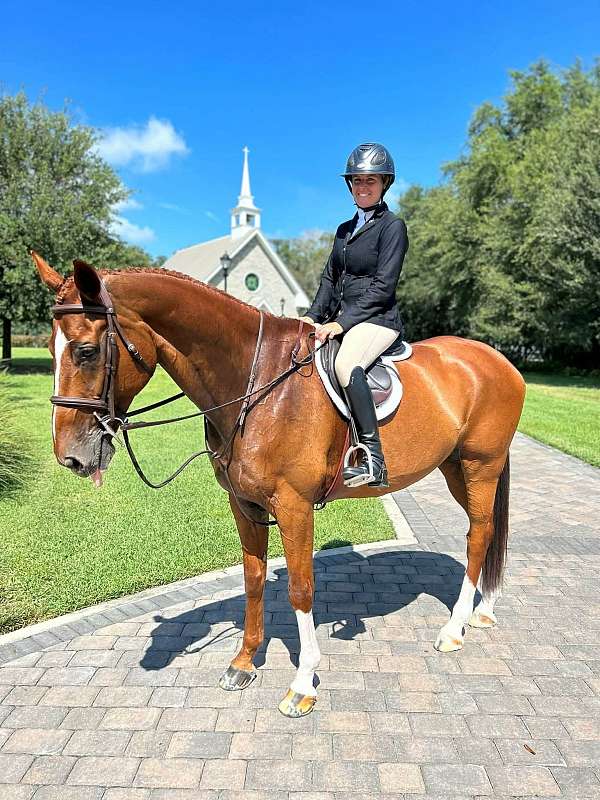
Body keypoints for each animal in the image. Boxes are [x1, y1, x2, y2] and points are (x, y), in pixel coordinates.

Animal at [33, 252, 526, 718]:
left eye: (85, 351)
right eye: (52, 349)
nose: (70, 456)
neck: (257, 382)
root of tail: (499, 360)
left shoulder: (294, 506)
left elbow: (300, 589)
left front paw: (303, 684)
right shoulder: (243, 504)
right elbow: (254, 579)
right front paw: (244, 662)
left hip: (480, 466)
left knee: (479, 534)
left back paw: (453, 629)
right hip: (455, 468)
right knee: (486, 532)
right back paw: (483, 610)